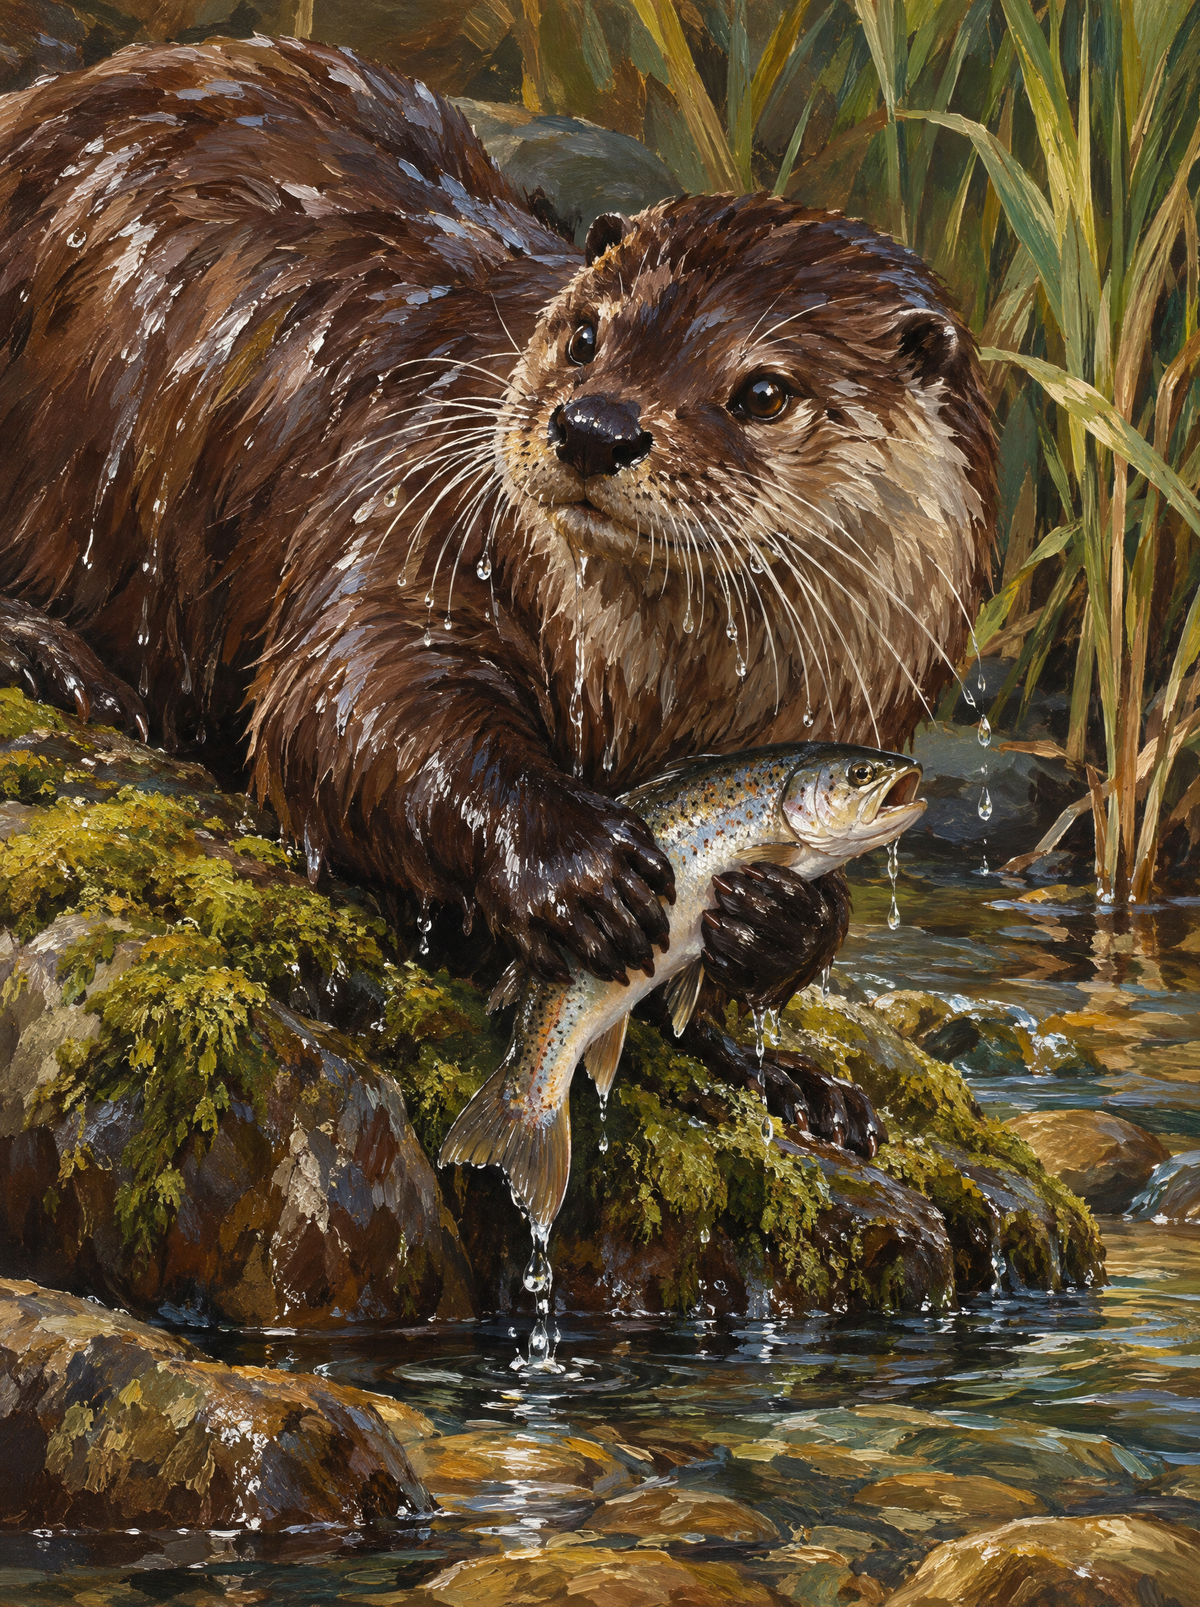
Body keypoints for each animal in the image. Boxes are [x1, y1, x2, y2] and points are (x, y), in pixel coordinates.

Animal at [0, 36, 996, 1152]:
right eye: (585, 336)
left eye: (764, 392)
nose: (596, 426)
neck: (650, 686)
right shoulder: (403, 506)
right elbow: (350, 699)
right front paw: (579, 867)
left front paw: (783, 1013)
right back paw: (57, 661)